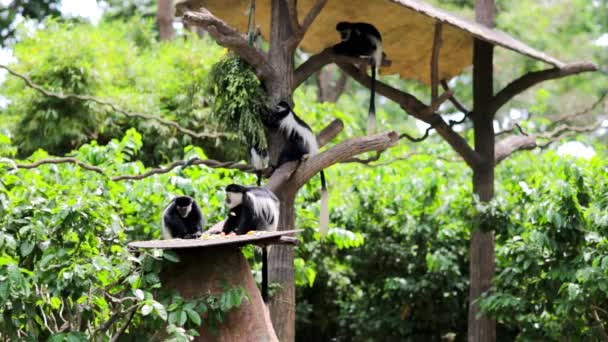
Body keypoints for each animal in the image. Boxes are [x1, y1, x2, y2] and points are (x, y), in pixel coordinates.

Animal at [270, 101, 328, 234]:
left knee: (296, 143)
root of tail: (313, 151)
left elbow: (272, 123)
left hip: (302, 146)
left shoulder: (283, 120)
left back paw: (299, 158)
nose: (275, 107)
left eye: (279, 106)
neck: (289, 113)